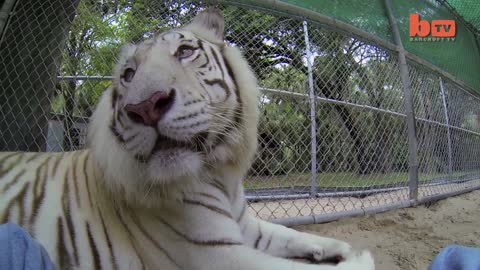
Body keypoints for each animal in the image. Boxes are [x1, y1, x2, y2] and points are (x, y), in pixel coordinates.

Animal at [0, 8, 376, 270]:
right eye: (129, 74)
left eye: (184, 52)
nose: (145, 106)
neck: (220, 173)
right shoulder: (218, 254)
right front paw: (360, 257)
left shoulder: (246, 226)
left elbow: (295, 233)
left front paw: (340, 247)